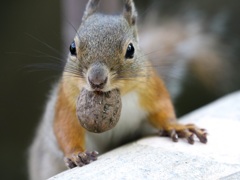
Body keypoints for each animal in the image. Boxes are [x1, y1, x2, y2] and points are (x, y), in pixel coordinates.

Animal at [28, 0, 206, 179]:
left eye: (130, 49)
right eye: (72, 47)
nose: (96, 80)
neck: (121, 94)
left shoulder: (152, 88)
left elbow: (162, 110)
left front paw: (177, 127)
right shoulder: (66, 97)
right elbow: (65, 126)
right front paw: (76, 153)